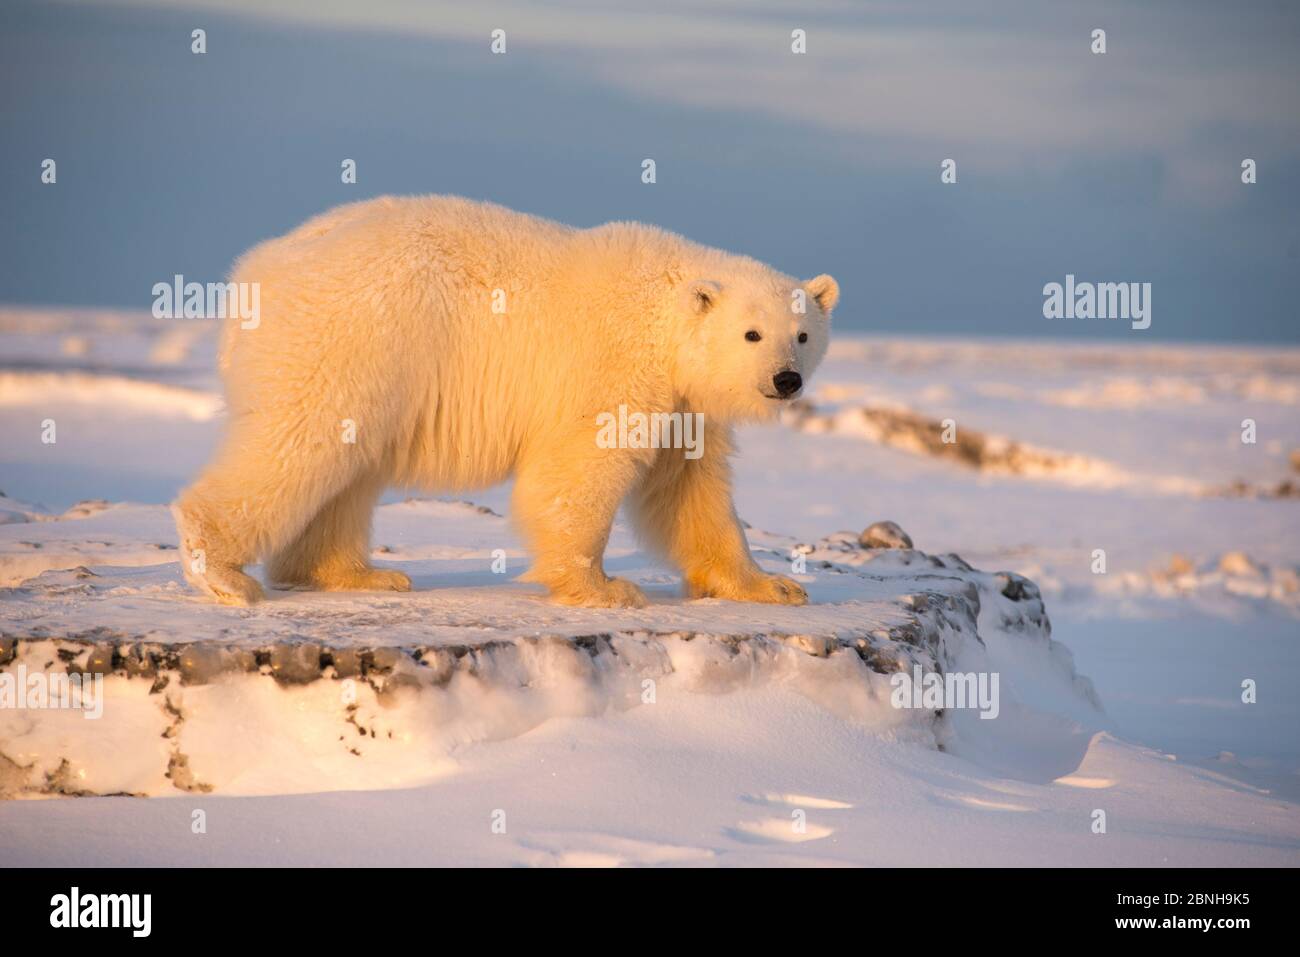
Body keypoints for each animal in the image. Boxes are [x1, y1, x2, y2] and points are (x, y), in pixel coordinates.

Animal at [172, 196, 837, 605]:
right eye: (751, 333)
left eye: (802, 334)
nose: (786, 380)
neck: (662, 313)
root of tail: (256, 270)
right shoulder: (610, 367)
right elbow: (578, 470)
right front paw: (604, 587)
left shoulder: (682, 404)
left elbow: (690, 491)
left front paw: (773, 586)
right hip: (349, 338)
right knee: (299, 442)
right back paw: (226, 573)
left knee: (345, 469)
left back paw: (359, 573)